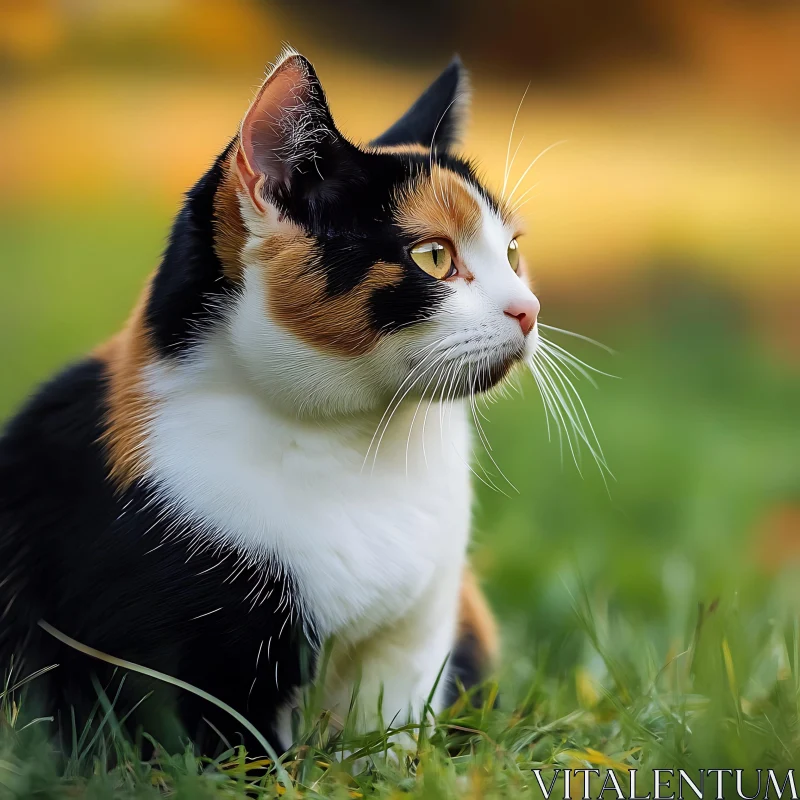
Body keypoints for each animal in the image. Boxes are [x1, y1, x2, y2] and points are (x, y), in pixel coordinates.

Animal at [0, 51, 540, 756]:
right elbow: (232, 751)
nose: (529, 309)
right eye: (433, 256)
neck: (361, 449)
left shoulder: (415, 638)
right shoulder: (200, 658)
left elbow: (390, 741)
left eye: (511, 252)